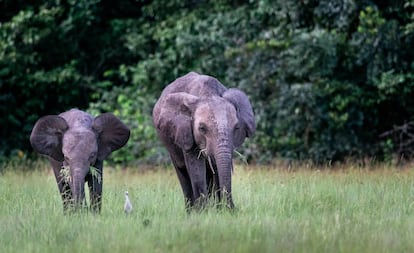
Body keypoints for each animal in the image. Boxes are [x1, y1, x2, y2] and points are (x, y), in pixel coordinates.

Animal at [152, 71, 256, 210]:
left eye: (236, 128)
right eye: (202, 128)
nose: (232, 208)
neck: (208, 93)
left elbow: (217, 168)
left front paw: (220, 210)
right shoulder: (186, 132)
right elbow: (196, 167)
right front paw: (203, 211)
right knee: (182, 172)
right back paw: (191, 210)